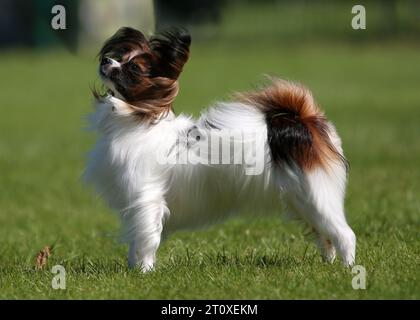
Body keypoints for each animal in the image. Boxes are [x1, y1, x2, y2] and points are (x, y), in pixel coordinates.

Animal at [83, 28, 356, 272]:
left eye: (133, 69)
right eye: (120, 56)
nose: (106, 60)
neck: (138, 121)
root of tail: (304, 119)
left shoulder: (147, 199)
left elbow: (146, 239)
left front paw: (144, 272)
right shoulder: (133, 204)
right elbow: (135, 242)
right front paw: (132, 269)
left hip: (315, 194)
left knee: (344, 234)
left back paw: (347, 269)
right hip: (301, 199)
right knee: (325, 237)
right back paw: (328, 264)